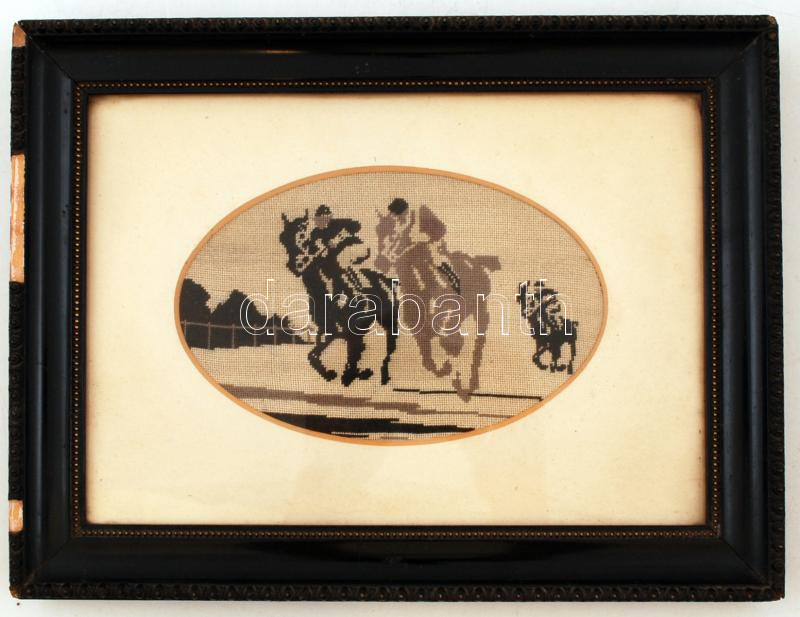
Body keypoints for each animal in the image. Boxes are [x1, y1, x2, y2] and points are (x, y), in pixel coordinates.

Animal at [279, 210, 398, 387]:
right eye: (283, 238)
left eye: (305, 235)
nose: (296, 265)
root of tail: (388, 280)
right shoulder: (328, 332)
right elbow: (313, 356)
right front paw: (330, 374)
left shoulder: (352, 332)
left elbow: (352, 361)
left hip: (390, 324)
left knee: (389, 351)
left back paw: (383, 376)